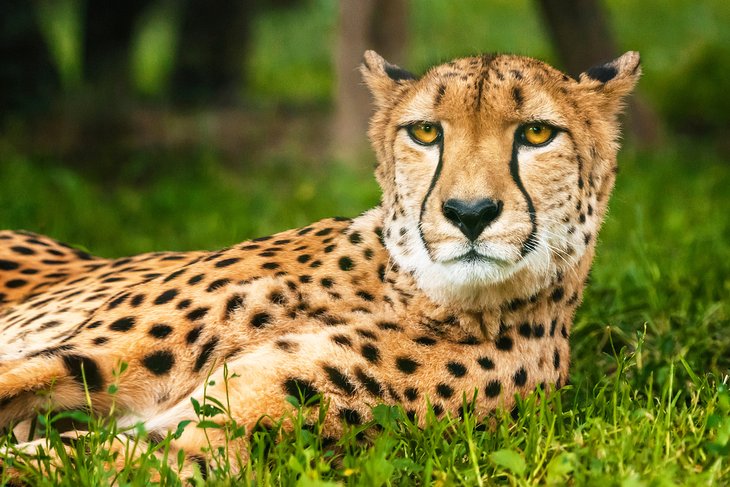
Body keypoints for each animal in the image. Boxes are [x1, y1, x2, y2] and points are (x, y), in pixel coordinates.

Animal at [0, 49, 636, 476]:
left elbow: (57, 462)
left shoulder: (207, 439)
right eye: (426, 132)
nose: (469, 212)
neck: (408, 292)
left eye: (537, 133)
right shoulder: (85, 358)